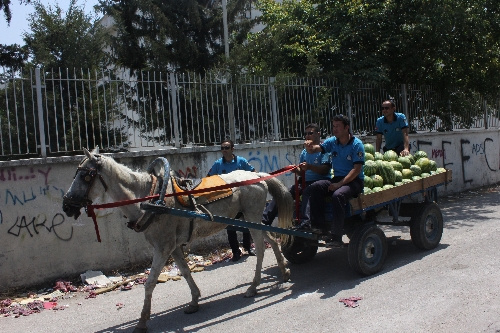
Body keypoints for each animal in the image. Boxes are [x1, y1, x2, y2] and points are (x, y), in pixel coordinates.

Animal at [63, 147, 296, 330]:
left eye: (85, 176)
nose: (66, 205)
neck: (150, 199)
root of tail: (259, 176)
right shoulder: (172, 247)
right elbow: (185, 271)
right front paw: (194, 300)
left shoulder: (163, 248)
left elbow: (150, 282)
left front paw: (142, 320)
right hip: (249, 219)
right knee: (272, 240)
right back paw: (284, 272)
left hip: (251, 217)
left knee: (261, 248)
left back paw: (254, 286)